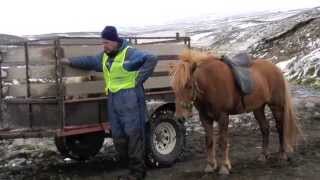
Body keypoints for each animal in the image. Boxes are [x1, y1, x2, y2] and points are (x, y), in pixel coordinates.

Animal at [171, 48, 302, 174]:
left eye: (188, 86)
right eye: (173, 87)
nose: (179, 117)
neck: (210, 83)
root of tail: (276, 69)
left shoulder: (223, 117)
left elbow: (223, 142)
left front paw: (224, 167)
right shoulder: (205, 118)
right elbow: (209, 141)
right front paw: (210, 166)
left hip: (276, 106)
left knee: (280, 128)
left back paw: (282, 155)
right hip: (258, 108)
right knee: (265, 128)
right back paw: (263, 155)